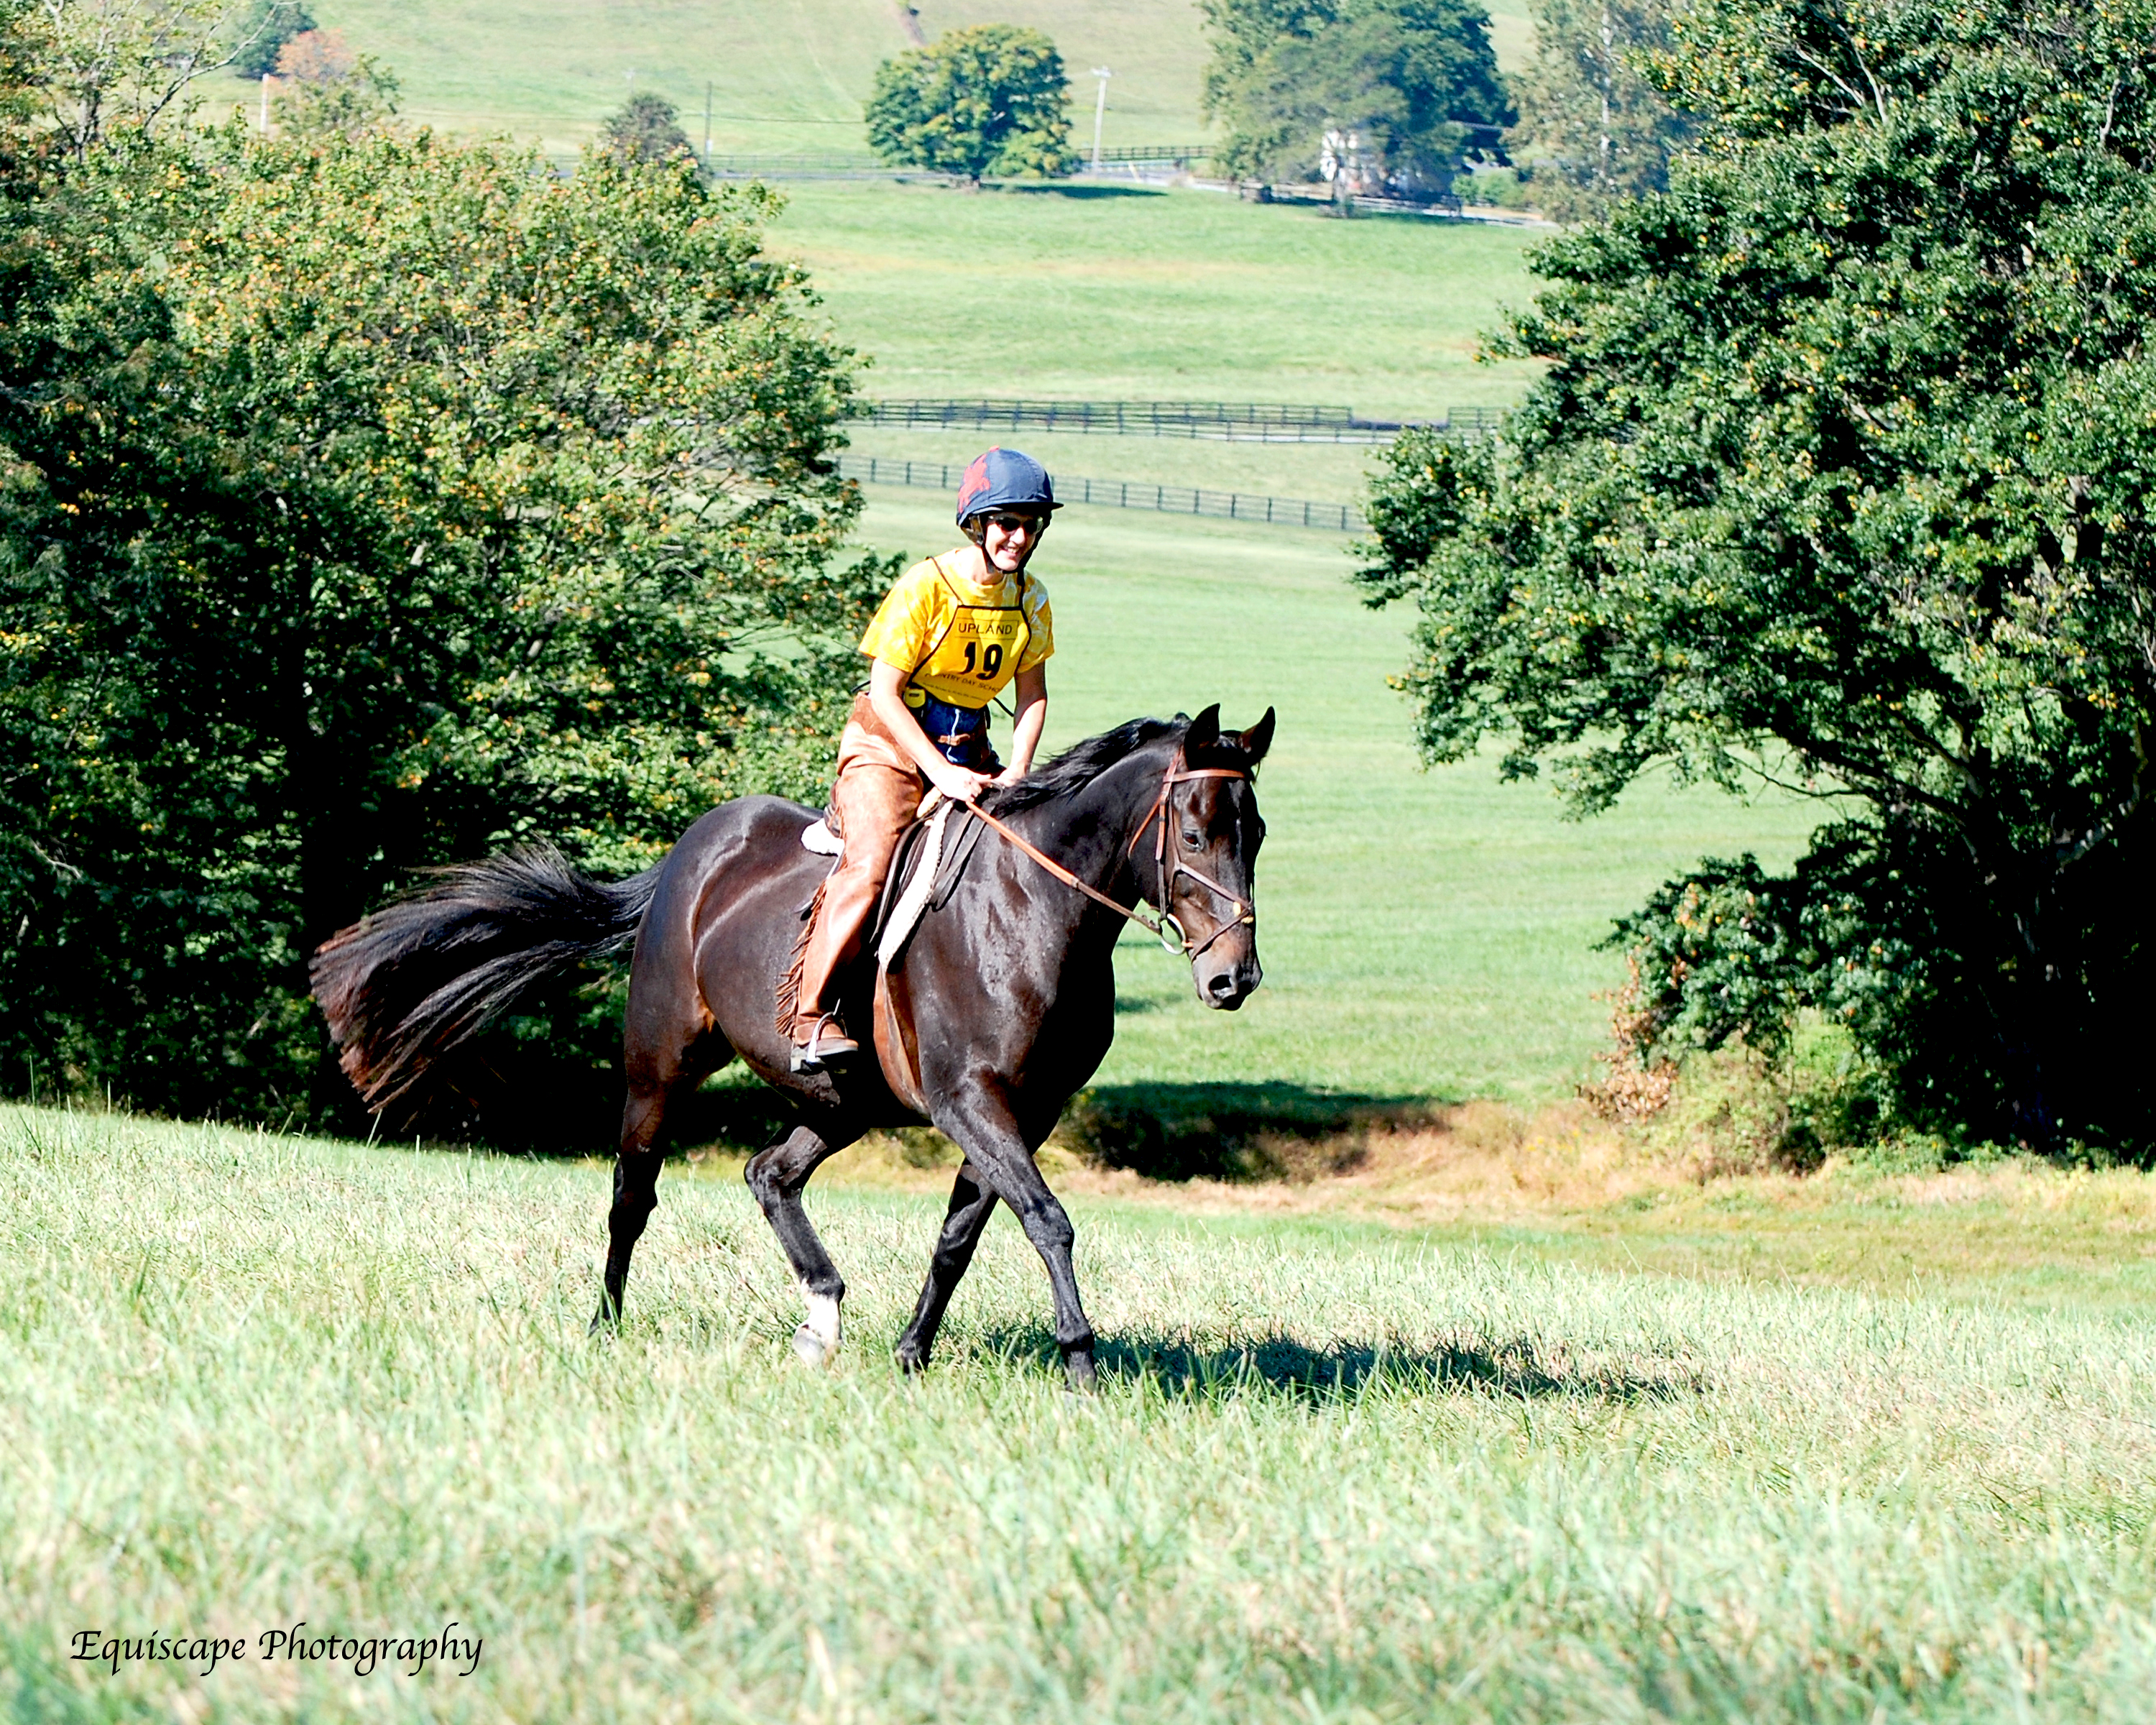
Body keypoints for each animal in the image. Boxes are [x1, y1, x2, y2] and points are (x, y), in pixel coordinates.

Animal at [313, 699, 1268, 1389]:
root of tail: (692, 849)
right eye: (1193, 833)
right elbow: (1047, 1219)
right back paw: (605, 1323)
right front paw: (1080, 1361)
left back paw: (822, 1313)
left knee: (769, 1174)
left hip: (840, 1099)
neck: (1033, 909)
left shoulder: (1022, 1112)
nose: (1236, 979)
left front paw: (912, 1355)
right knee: (633, 1193)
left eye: (1254, 834)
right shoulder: (970, 1099)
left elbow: (961, 1237)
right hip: (661, 1062)